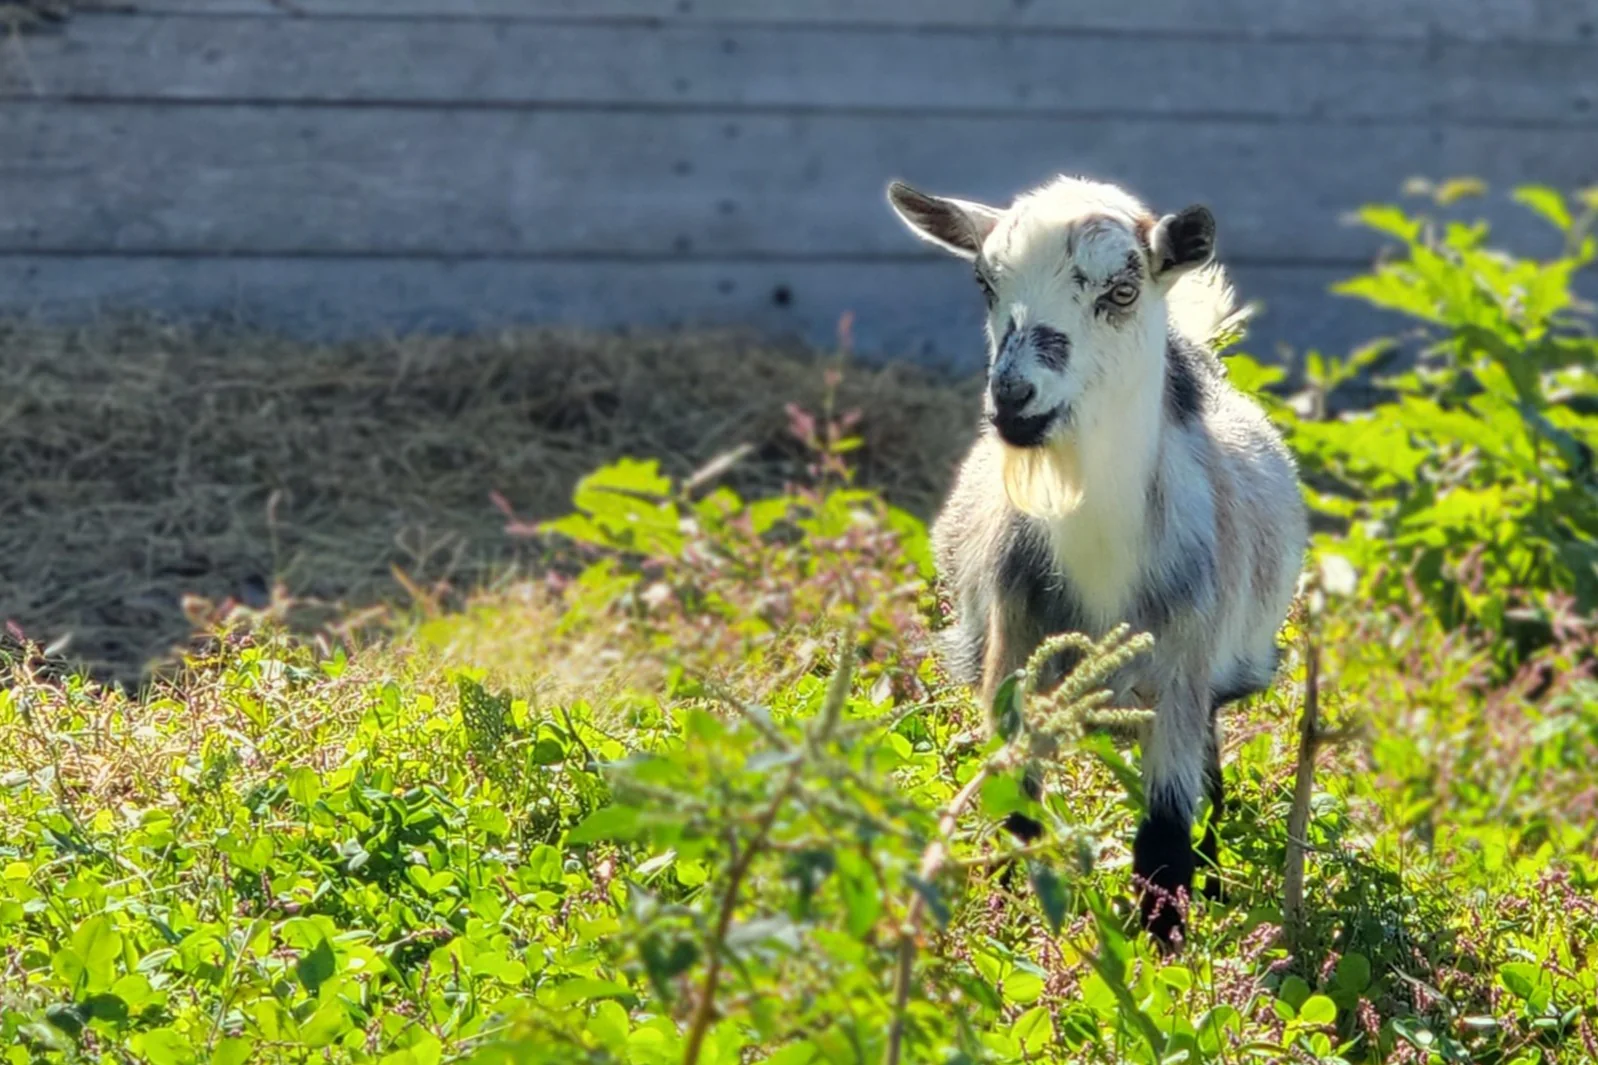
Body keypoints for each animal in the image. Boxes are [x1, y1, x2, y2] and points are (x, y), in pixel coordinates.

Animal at [886, 175, 1307, 943]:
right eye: (984, 282)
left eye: (1121, 288)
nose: (1013, 395)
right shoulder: (1011, 663)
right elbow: (1015, 813)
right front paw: (1014, 922)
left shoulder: (1183, 674)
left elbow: (1164, 842)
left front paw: (1165, 956)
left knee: (1209, 789)